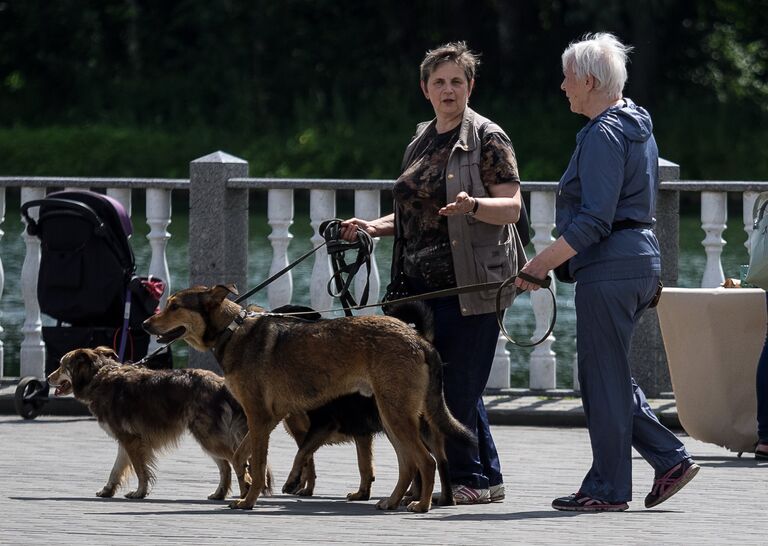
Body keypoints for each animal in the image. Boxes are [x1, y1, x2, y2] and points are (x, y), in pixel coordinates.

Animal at [46, 346, 272, 500]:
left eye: (62, 366)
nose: (47, 378)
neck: (99, 376)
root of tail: (221, 384)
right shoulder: (126, 440)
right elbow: (116, 468)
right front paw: (108, 490)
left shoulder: (131, 441)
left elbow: (140, 470)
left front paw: (139, 492)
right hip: (208, 438)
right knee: (226, 466)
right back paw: (220, 494)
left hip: (208, 437)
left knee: (235, 460)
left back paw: (244, 493)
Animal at [141, 284, 472, 510]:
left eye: (174, 306)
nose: (144, 324)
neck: (232, 331)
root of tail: (418, 339)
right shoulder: (267, 420)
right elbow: (239, 456)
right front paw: (246, 485)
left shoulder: (260, 418)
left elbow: (259, 463)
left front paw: (249, 500)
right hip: (392, 417)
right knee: (409, 465)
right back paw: (392, 501)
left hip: (397, 415)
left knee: (426, 462)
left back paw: (422, 505)